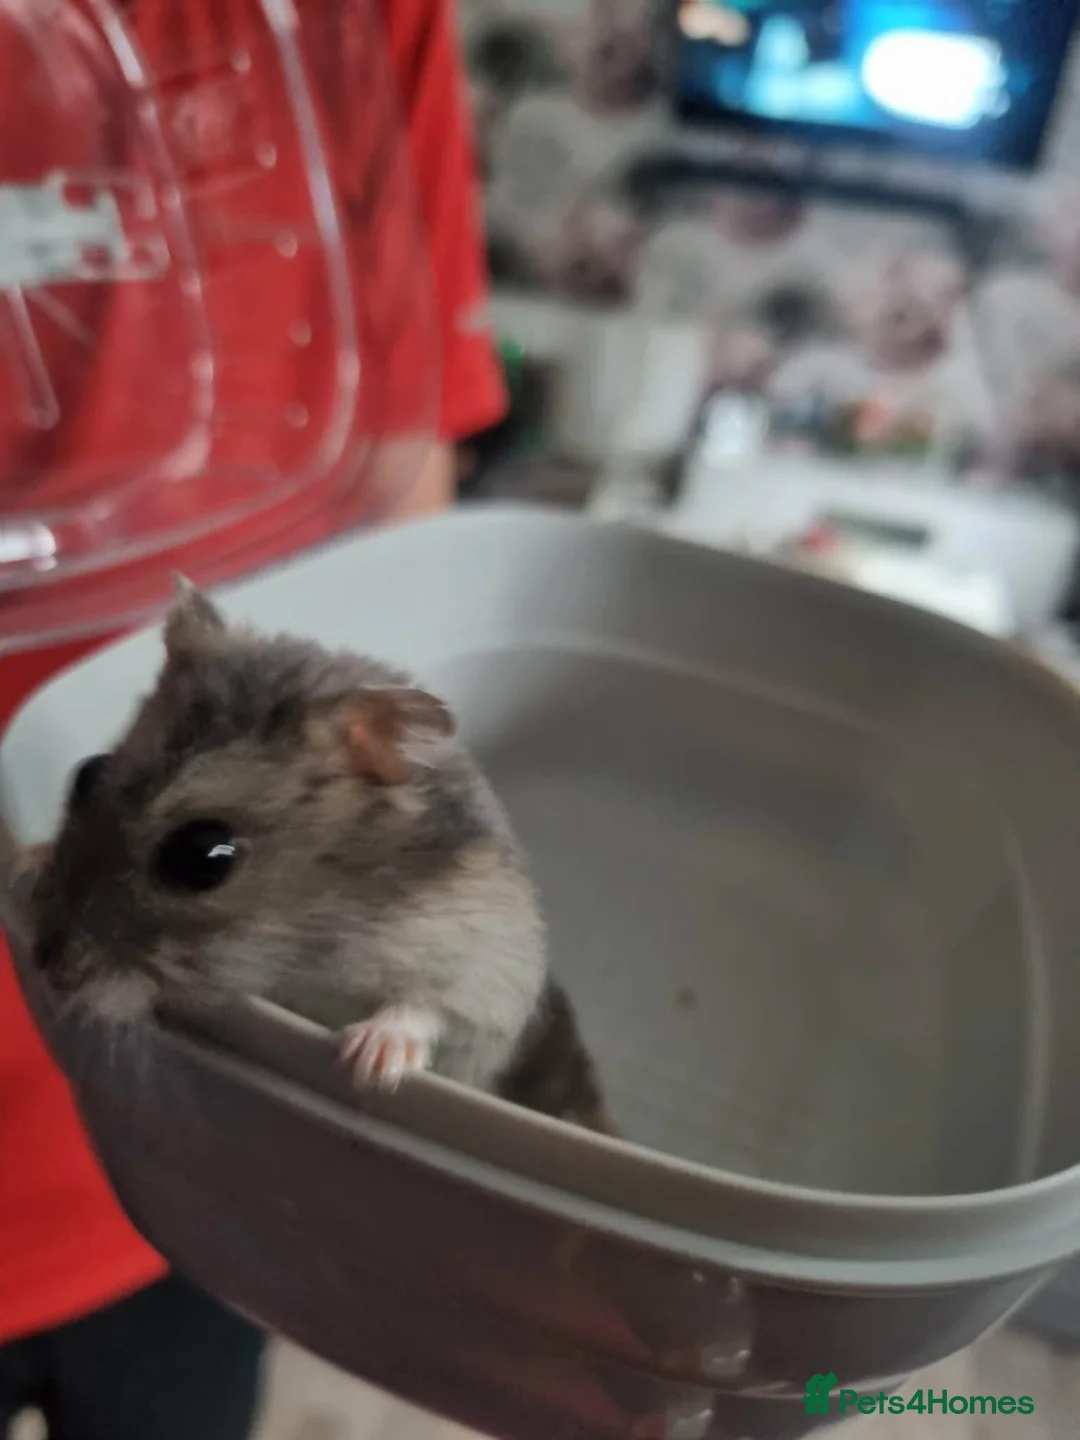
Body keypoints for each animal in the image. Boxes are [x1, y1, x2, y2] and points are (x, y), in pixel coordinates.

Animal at [26, 582, 615, 1131]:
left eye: (203, 857)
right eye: (87, 774)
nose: (45, 969)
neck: (319, 928)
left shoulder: (489, 968)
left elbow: (428, 1006)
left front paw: (369, 1062)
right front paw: (30, 855)